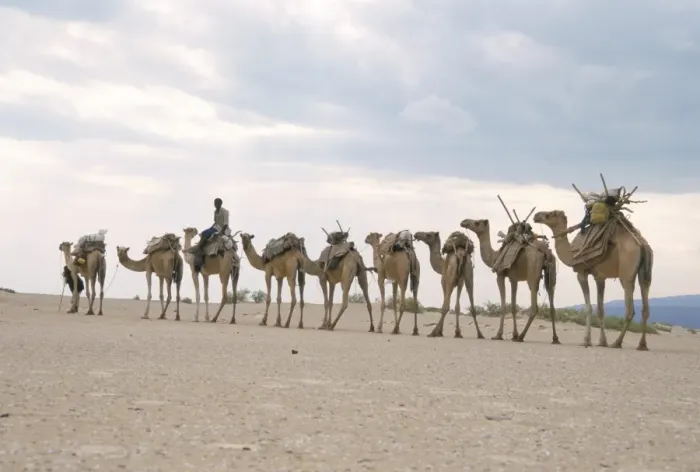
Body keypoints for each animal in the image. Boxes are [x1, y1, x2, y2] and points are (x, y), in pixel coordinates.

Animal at [533, 210, 654, 350]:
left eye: (551, 214)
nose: (536, 216)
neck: (572, 253)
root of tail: (642, 245)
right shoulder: (600, 277)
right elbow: (600, 310)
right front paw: (602, 342)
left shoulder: (581, 273)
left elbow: (588, 307)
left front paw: (586, 341)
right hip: (645, 273)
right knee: (645, 304)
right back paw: (642, 345)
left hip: (626, 274)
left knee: (630, 310)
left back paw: (617, 343)